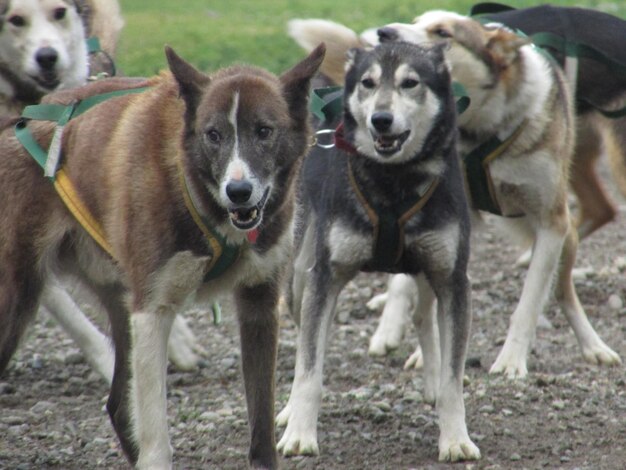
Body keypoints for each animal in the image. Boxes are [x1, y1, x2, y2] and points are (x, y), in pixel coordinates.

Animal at [0, 42, 324, 468]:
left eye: (264, 131)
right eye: (214, 134)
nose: (238, 192)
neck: (202, 198)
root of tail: (15, 123)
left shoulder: (259, 304)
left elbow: (261, 426)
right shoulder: (152, 312)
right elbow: (155, 432)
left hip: (119, 303)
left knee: (118, 406)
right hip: (17, 301)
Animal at [288, 11, 620, 380]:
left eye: (443, 33)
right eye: (415, 21)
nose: (384, 34)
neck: (482, 129)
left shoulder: (551, 223)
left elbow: (530, 301)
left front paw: (511, 359)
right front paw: (425, 352)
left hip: (565, 229)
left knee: (564, 291)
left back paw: (593, 345)